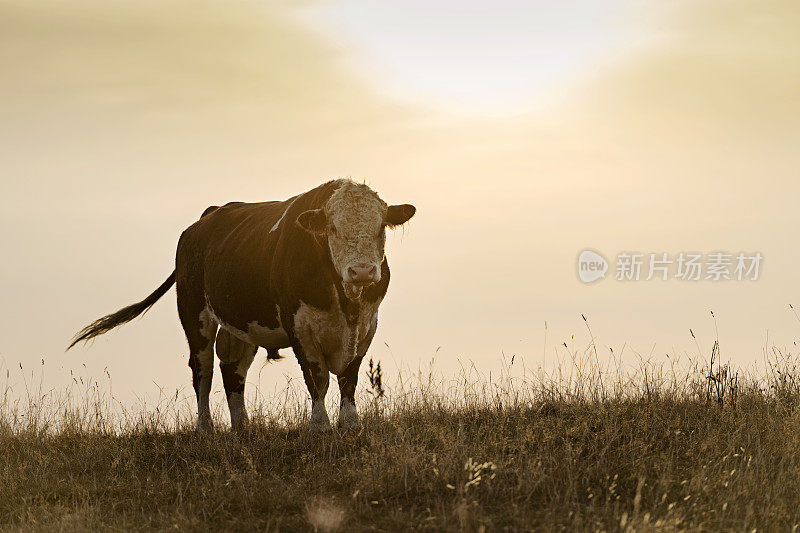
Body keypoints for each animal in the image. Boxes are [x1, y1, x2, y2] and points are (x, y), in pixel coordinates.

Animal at [69, 181, 416, 430]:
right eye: (332, 228)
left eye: (381, 226)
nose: (362, 271)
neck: (345, 302)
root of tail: (207, 216)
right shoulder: (299, 326)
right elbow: (316, 377)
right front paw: (320, 426)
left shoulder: (367, 325)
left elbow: (349, 376)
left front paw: (351, 424)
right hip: (194, 311)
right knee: (203, 369)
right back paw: (206, 428)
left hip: (241, 323)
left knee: (232, 368)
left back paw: (242, 427)